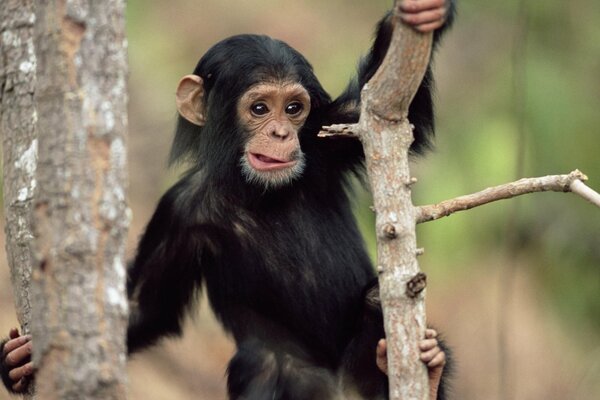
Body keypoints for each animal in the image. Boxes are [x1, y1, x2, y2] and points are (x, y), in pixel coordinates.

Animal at [2, 1, 458, 398]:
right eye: (259, 108)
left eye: (294, 108)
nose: (280, 133)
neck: (254, 190)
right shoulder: (179, 212)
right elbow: (142, 307)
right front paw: (19, 359)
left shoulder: (328, 136)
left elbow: (395, 112)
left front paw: (418, 15)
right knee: (261, 362)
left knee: (376, 302)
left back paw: (426, 366)